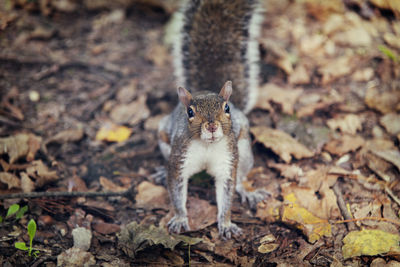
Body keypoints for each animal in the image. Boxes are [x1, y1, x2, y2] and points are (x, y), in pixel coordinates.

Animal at [157, 0, 268, 240]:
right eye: (190, 112)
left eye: (226, 108)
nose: (211, 126)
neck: (207, 146)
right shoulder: (179, 159)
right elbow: (176, 190)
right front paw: (180, 218)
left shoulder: (227, 161)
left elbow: (227, 193)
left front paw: (226, 224)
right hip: (163, 137)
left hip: (244, 151)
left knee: (240, 177)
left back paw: (248, 191)